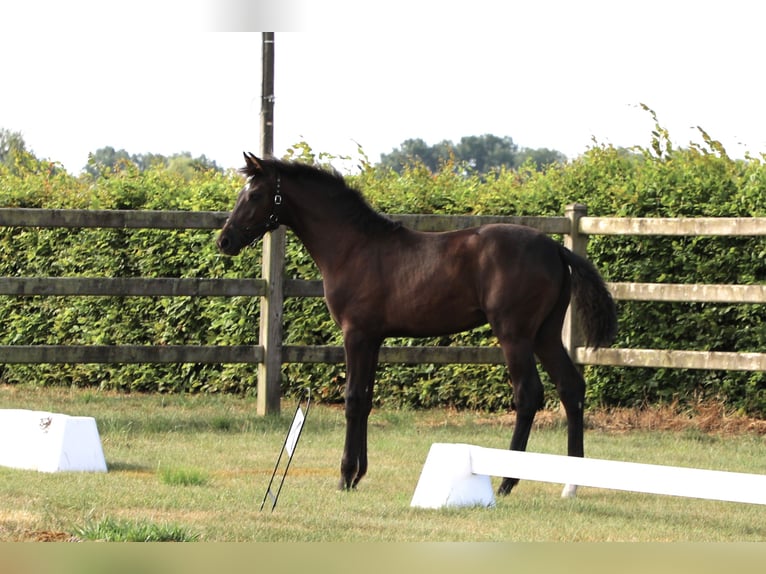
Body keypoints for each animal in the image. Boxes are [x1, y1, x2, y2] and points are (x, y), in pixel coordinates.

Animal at [217, 153, 617, 497]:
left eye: (254, 194)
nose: (225, 240)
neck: (354, 247)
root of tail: (555, 248)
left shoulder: (355, 334)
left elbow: (352, 399)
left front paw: (345, 475)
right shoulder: (374, 339)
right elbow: (366, 400)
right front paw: (359, 474)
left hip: (515, 335)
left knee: (529, 394)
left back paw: (507, 482)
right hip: (545, 334)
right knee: (571, 388)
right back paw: (572, 483)